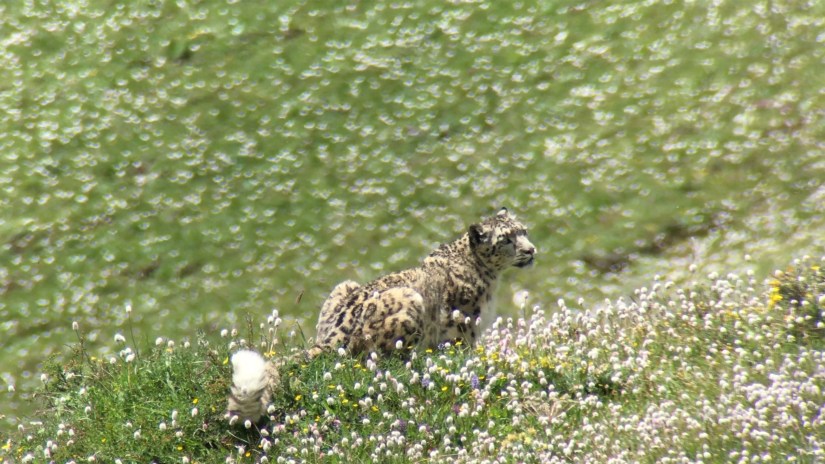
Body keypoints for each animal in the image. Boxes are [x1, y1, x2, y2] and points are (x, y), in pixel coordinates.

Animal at [227, 208, 535, 424]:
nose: (531, 249)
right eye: (506, 239)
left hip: (343, 286)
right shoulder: (464, 331)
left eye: (524, 230)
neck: (490, 278)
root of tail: (332, 337)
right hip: (410, 306)